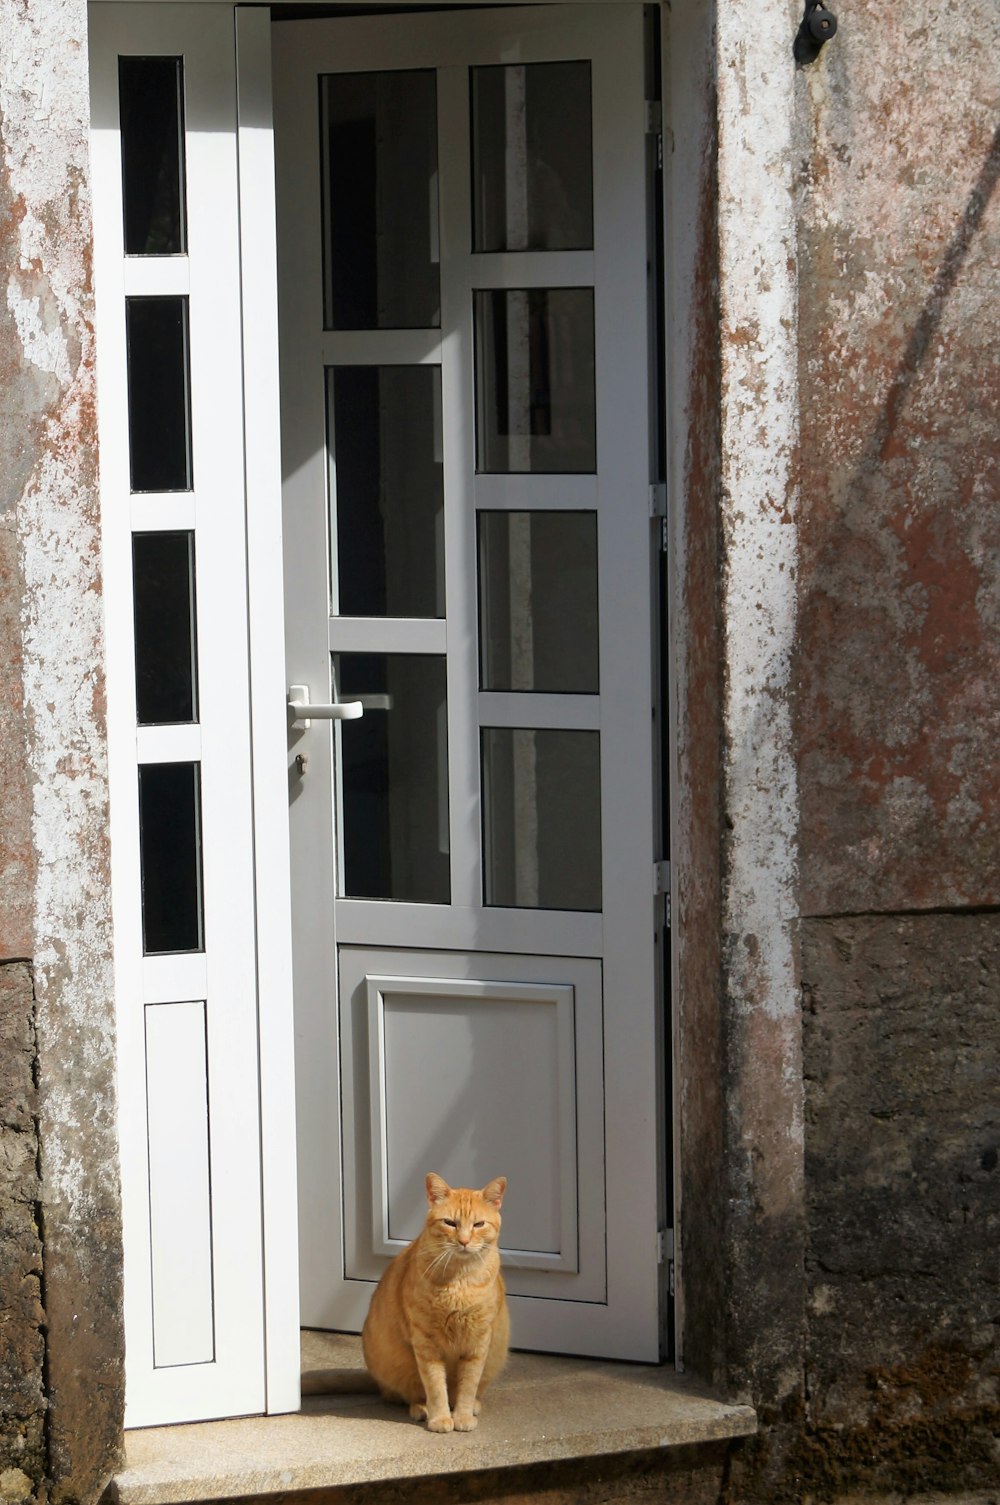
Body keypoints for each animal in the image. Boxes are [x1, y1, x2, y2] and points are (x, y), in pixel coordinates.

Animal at [361, 1167, 512, 1426]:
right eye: (450, 1223)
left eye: (478, 1224)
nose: (464, 1241)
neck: (459, 1282)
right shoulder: (426, 1343)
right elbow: (434, 1385)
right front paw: (441, 1418)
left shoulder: (478, 1343)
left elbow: (468, 1385)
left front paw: (462, 1416)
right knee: (410, 1393)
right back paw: (422, 1408)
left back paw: (473, 1406)